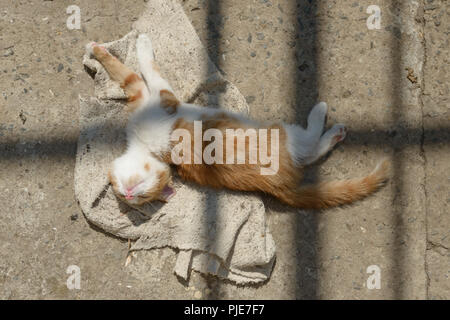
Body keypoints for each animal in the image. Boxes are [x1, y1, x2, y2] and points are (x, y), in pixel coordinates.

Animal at [86, 34, 388, 210]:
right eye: (145, 197)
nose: (128, 196)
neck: (145, 147)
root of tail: (282, 188)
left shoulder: (147, 94)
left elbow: (131, 71)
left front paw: (100, 50)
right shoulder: (163, 97)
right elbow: (146, 69)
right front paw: (138, 44)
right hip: (282, 134)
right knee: (311, 145)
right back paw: (326, 121)